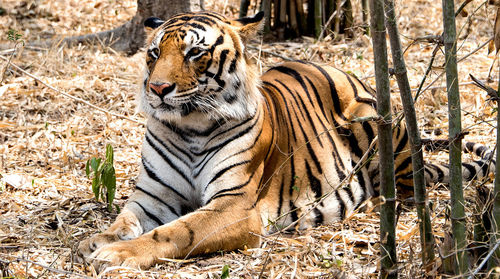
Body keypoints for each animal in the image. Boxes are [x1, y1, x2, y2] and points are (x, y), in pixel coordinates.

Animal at [77, 10, 492, 272]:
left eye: (194, 52)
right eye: (153, 53)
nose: (157, 89)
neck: (189, 127)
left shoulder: (235, 206)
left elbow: (177, 230)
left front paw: (116, 254)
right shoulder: (154, 196)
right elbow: (126, 218)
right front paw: (99, 240)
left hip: (376, 122)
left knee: (405, 188)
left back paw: (377, 203)